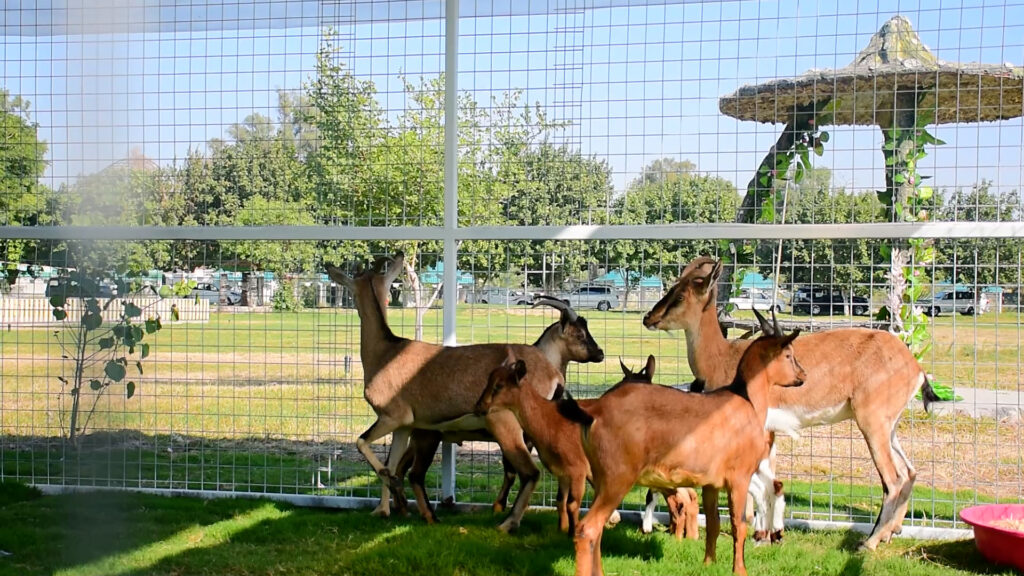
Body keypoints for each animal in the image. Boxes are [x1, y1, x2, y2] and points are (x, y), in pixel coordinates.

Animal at [327, 253, 569, 532]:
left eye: (351, 291)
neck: (385, 353)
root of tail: (554, 374)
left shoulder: (392, 416)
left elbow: (362, 442)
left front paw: (392, 493)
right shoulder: (405, 426)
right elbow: (391, 461)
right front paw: (383, 509)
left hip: (507, 423)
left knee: (531, 472)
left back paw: (509, 522)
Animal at [389, 293, 602, 522]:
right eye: (579, 334)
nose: (600, 353)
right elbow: (510, 469)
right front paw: (500, 506)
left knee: (399, 468)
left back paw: (401, 508)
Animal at [561, 309, 806, 573]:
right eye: (789, 354)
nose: (802, 376)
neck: (746, 401)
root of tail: (594, 413)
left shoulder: (711, 483)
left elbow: (713, 523)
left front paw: (709, 563)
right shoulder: (739, 477)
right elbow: (738, 525)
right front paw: (740, 570)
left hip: (600, 478)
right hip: (617, 478)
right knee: (587, 528)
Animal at [643, 255, 937, 545]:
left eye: (681, 295)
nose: (648, 317)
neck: (723, 357)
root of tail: (915, 368)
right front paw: (763, 532)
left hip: (872, 424)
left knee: (894, 479)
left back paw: (870, 542)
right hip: (890, 427)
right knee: (909, 472)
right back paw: (891, 532)